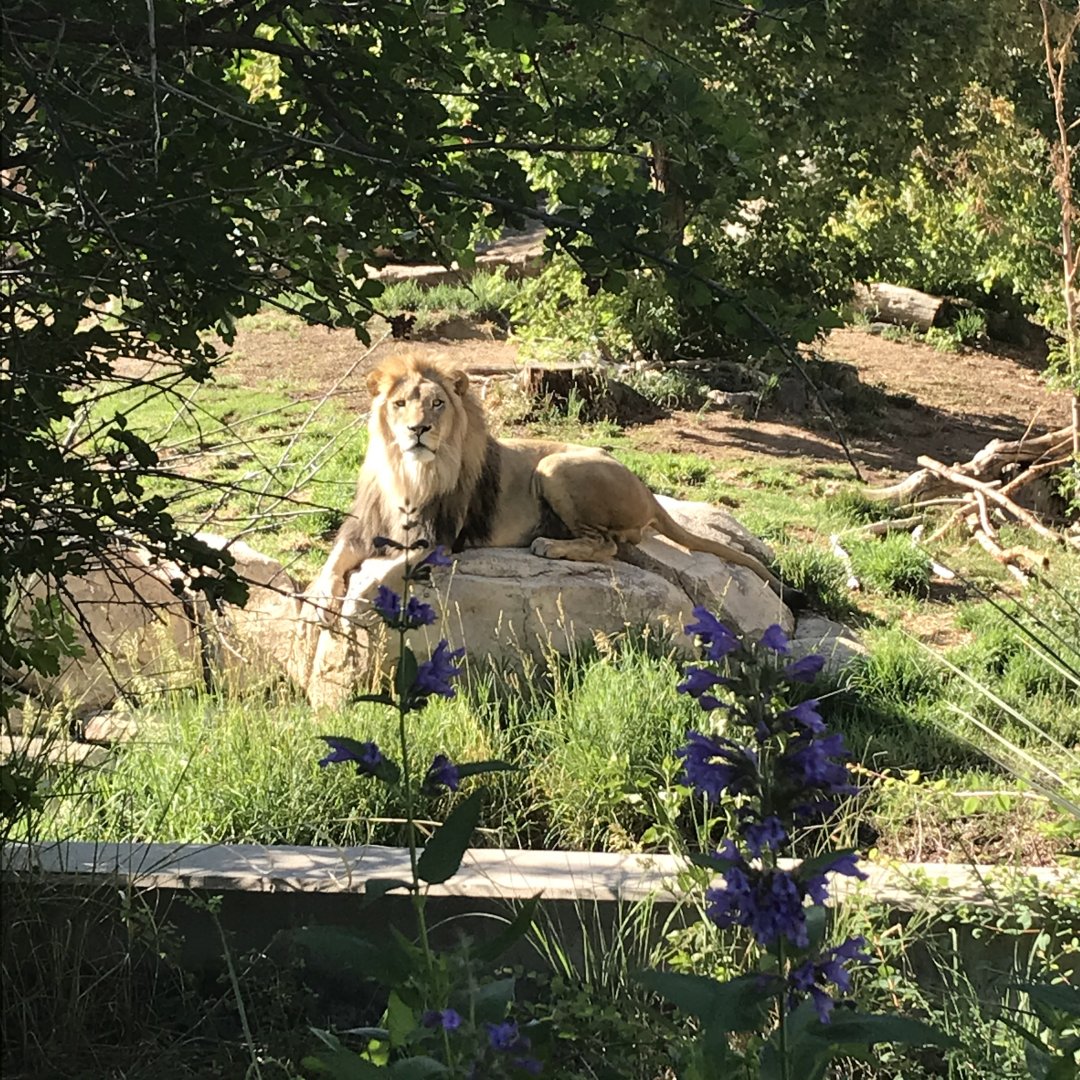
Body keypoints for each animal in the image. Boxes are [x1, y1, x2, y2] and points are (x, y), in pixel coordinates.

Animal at [306, 353, 799, 624]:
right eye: (399, 403)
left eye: (437, 403)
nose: (418, 430)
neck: (408, 471)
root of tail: (646, 489)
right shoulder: (363, 528)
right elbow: (331, 563)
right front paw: (316, 602)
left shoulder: (439, 539)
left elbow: (392, 570)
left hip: (554, 466)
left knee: (606, 546)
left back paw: (550, 545)